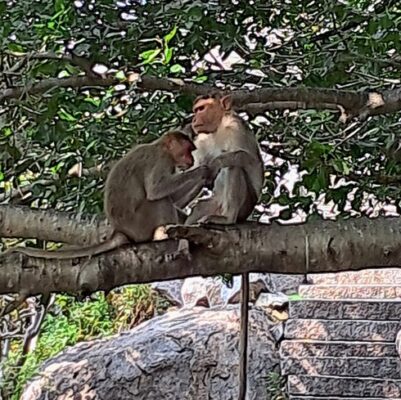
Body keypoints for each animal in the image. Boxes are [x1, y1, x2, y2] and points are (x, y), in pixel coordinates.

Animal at [4, 131, 227, 260]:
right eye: (188, 150)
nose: (192, 160)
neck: (160, 146)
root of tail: (120, 230)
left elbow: (174, 198)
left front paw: (205, 179)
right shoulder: (161, 160)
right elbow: (156, 191)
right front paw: (201, 172)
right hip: (140, 224)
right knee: (158, 201)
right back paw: (165, 235)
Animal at [188, 92, 266, 400]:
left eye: (201, 108)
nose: (192, 118)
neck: (217, 127)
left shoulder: (236, 129)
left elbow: (248, 163)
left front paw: (216, 165)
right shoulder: (201, 140)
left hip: (242, 205)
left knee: (234, 168)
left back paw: (227, 218)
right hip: (211, 204)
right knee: (201, 206)